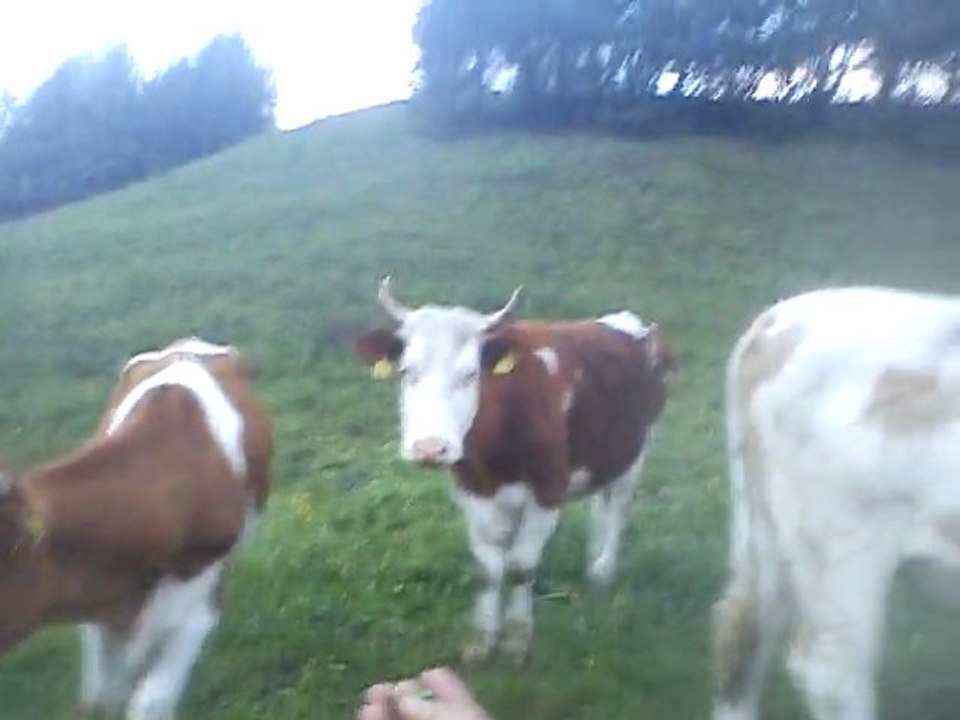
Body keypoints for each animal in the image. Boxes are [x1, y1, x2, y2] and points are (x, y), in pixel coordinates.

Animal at [354, 278, 674, 663]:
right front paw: (482, 641)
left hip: (637, 449)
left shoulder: (549, 490)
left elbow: (522, 567)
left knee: (618, 509)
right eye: (406, 372)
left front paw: (517, 641)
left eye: (470, 375)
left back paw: (603, 569)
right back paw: (592, 562)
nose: (430, 449)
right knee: (601, 504)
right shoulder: (471, 489)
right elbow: (488, 569)